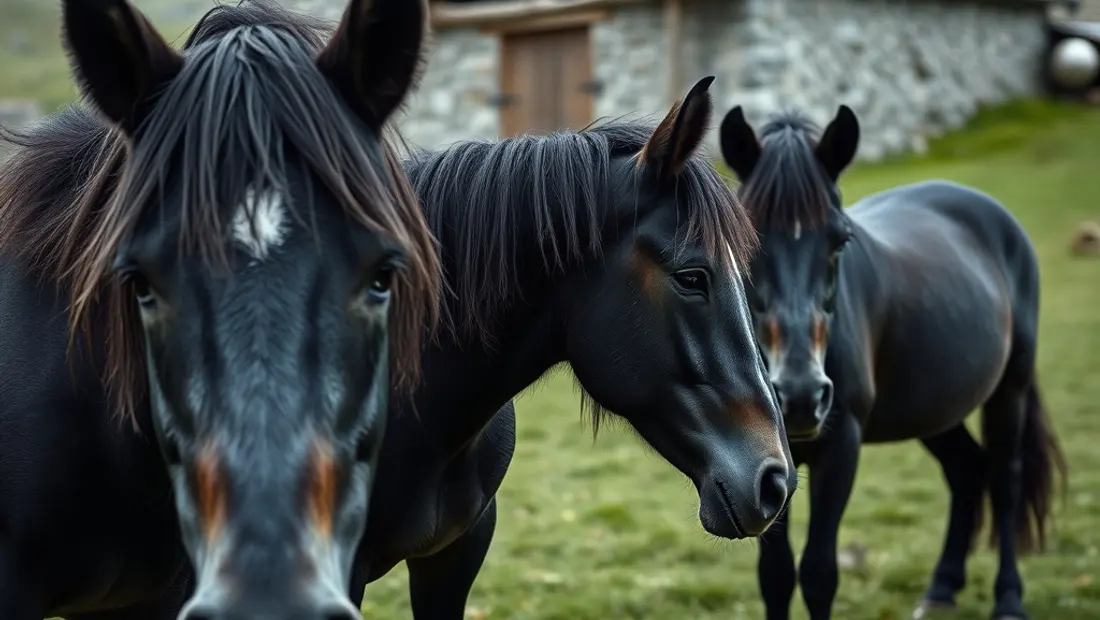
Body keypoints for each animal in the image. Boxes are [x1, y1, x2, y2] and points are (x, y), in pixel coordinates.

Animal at [717, 105, 1068, 620]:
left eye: (840, 241)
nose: (800, 397)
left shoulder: (842, 446)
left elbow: (819, 573)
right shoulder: (763, 469)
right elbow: (776, 576)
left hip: (1011, 389)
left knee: (1006, 482)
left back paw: (1008, 599)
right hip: (936, 407)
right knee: (966, 471)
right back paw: (940, 589)